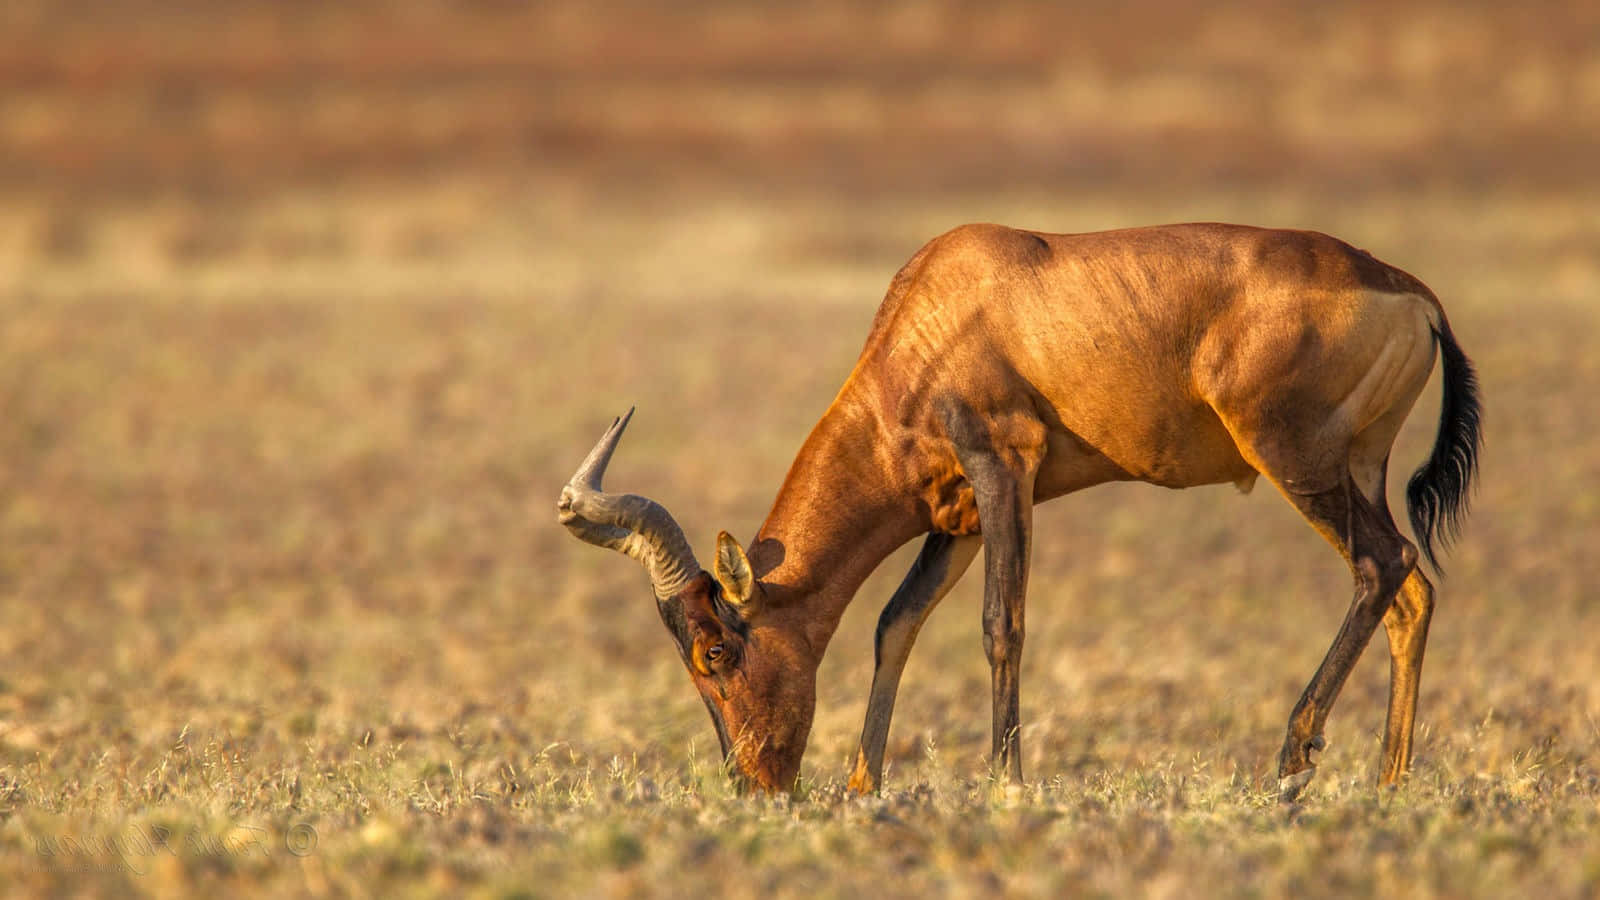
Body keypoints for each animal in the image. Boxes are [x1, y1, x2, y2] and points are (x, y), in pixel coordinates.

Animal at [556, 224, 1478, 797]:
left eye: (714, 651)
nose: (753, 785)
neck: (940, 307)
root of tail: (1413, 293)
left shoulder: (1004, 470)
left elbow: (1002, 624)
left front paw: (1006, 782)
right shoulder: (954, 515)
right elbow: (895, 623)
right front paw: (863, 785)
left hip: (1294, 457)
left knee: (1383, 564)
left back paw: (1292, 761)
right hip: (1359, 466)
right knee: (1412, 591)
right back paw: (1388, 782)